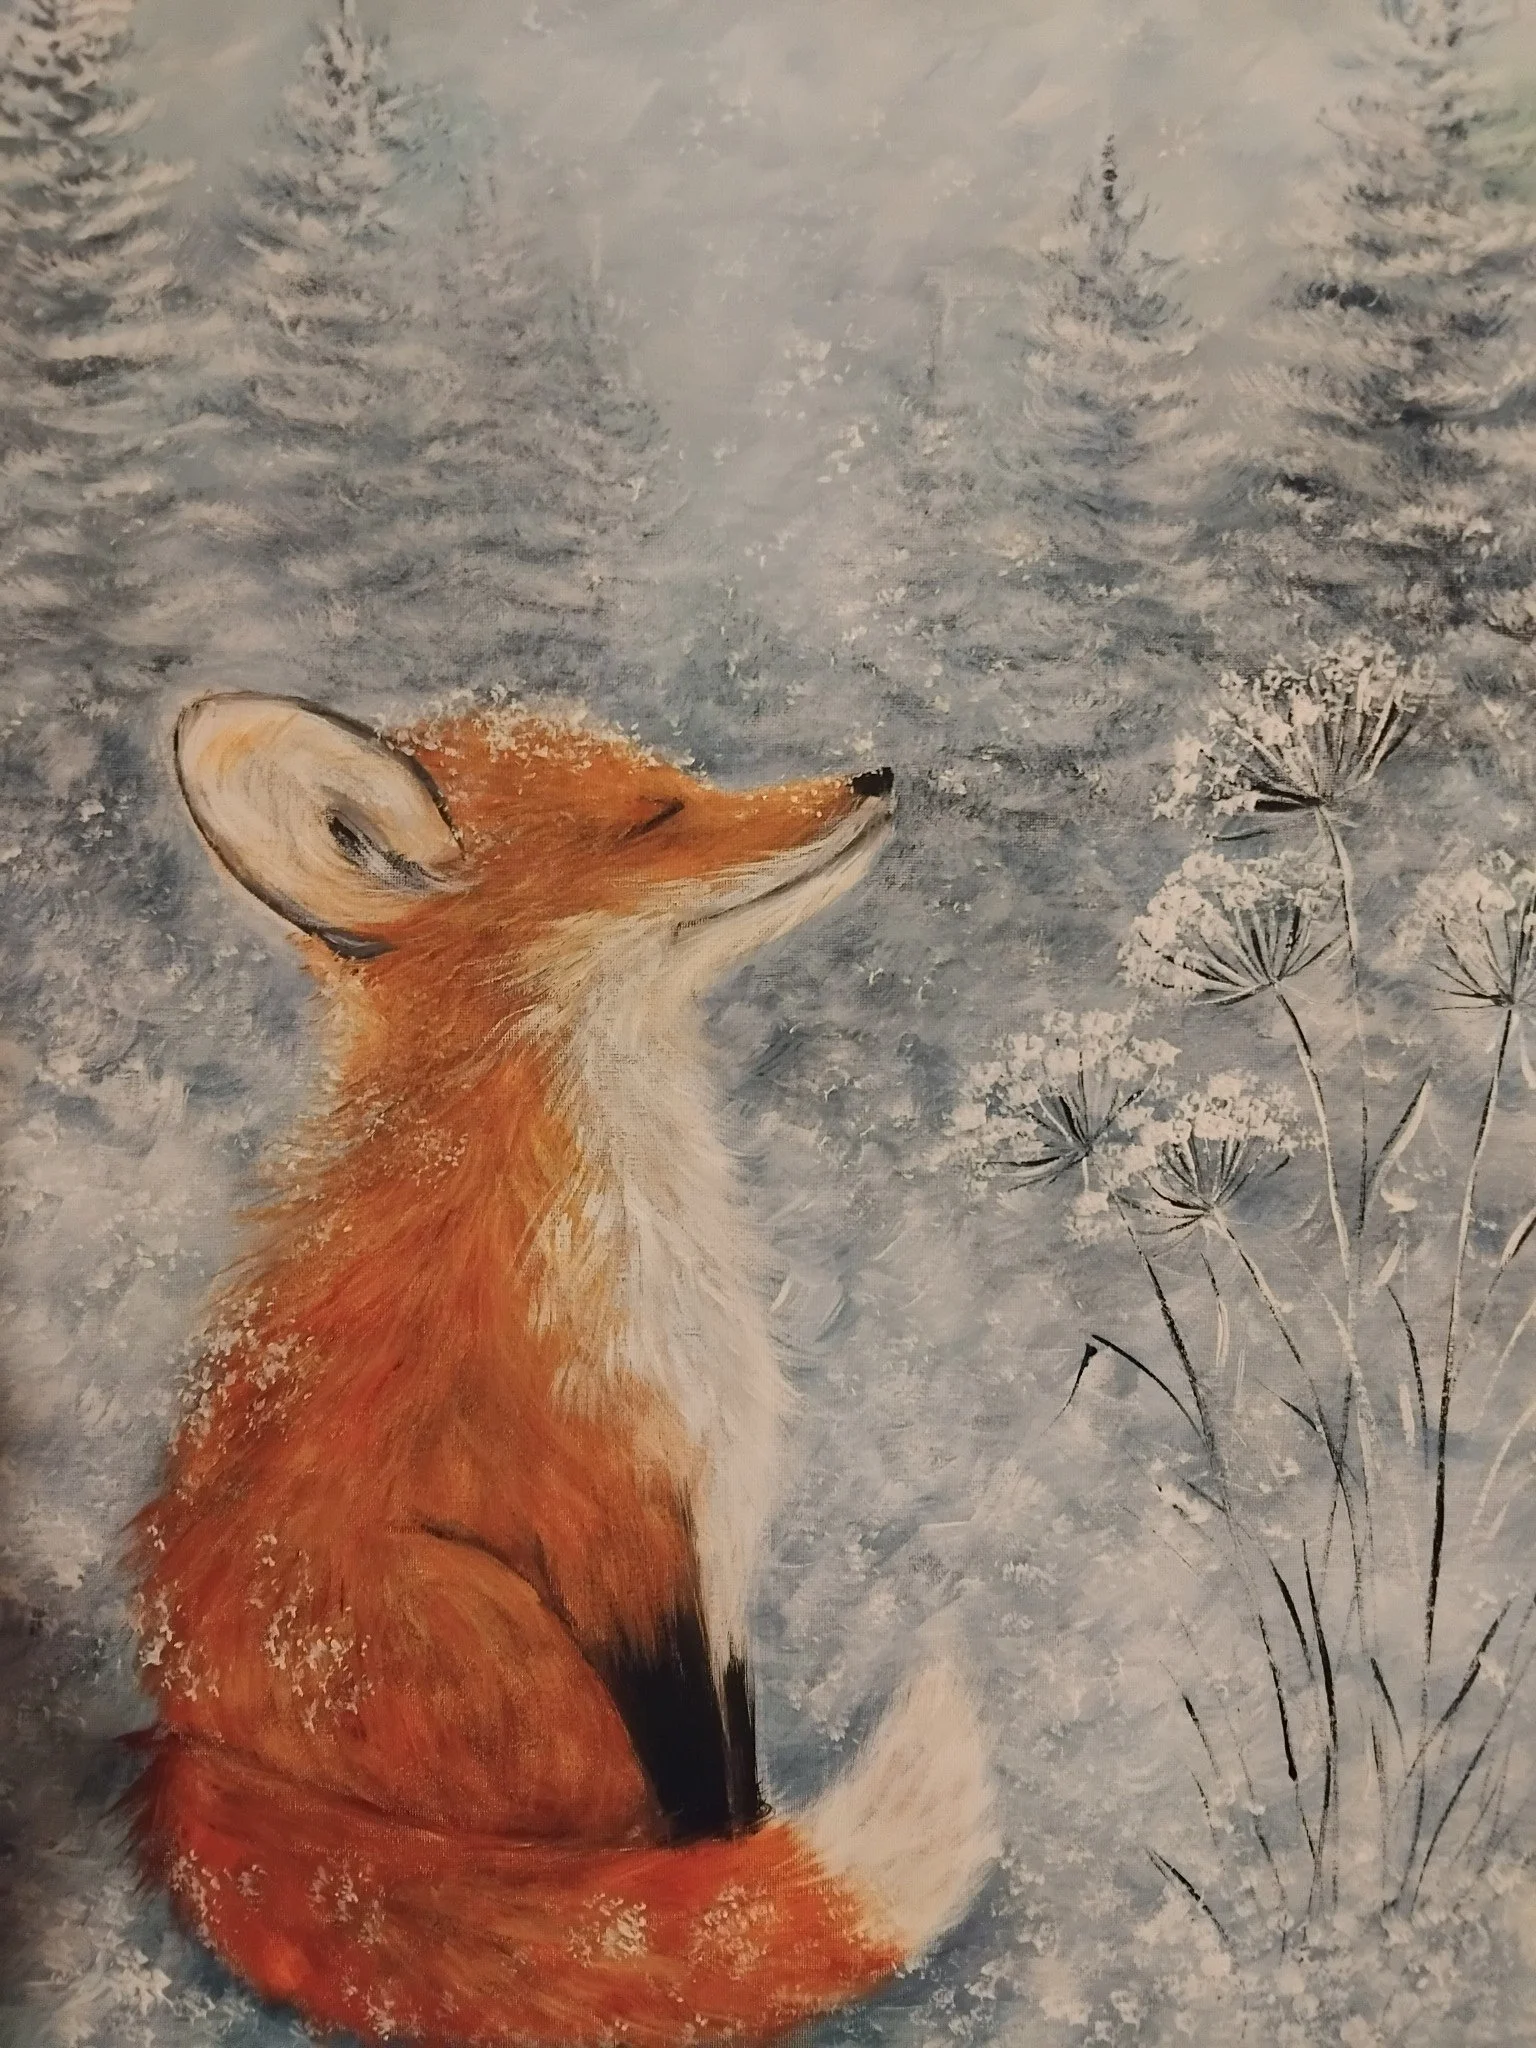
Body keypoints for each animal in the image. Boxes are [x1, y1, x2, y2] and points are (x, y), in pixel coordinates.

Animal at [128, 692, 995, 2047]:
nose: (877, 773)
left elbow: (736, 1779)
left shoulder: (715, 1537)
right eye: (657, 817)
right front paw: (732, 1931)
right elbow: (703, 1806)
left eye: (678, 779)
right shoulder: (624, 1541)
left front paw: (738, 1904)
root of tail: (192, 1756)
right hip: (490, 1634)